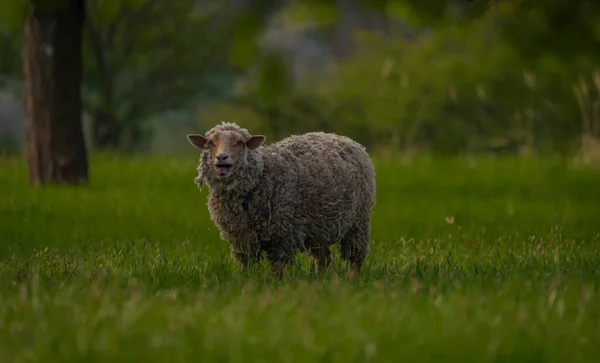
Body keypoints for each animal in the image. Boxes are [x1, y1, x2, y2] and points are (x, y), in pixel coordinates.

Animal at [185, 123, 378, 278]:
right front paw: (246, 280)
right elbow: (246, 266)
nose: (222, 157)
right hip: (319, 225)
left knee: (355, 256)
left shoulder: (282, 236)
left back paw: (352, 278)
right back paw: (321, 278)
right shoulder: (242, 239)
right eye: (210, 143)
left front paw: (277, 284)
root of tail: (342, 137)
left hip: (358, 220)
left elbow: (278, 268)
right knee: (323, 257)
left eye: (240, 143)